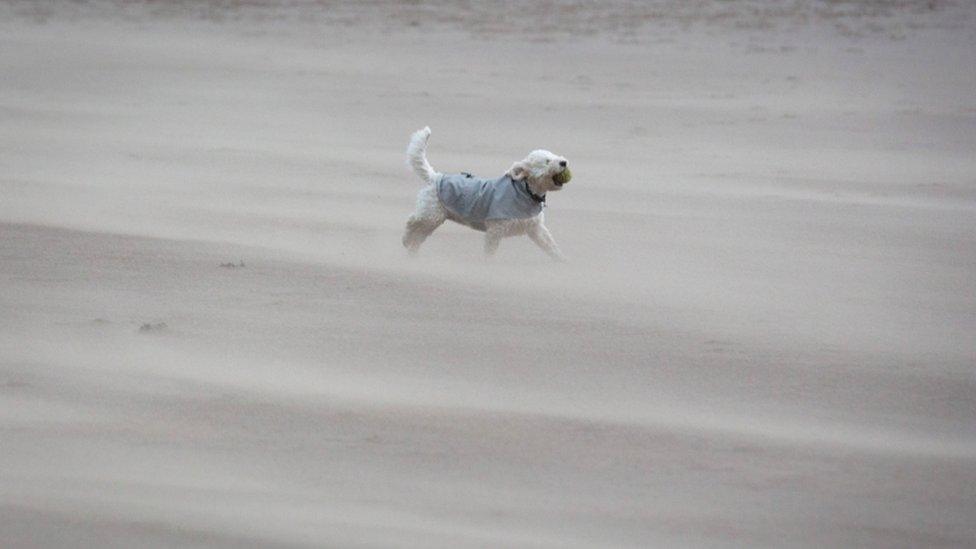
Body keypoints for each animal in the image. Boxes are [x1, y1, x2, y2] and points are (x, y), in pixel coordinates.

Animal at [404, 126, 572, 262]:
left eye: (555, 155)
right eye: (547, 161)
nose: (564, 162)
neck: (526, 191)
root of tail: (436, 177)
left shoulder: (536, 228)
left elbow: (550, 245)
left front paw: (562, 260)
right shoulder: (496, 229)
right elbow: (490, 251)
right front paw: (488, 265)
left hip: (433, 220)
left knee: (418, 235)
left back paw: (412, 252)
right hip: (431, 214)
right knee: (412, 221)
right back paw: (405, 239)